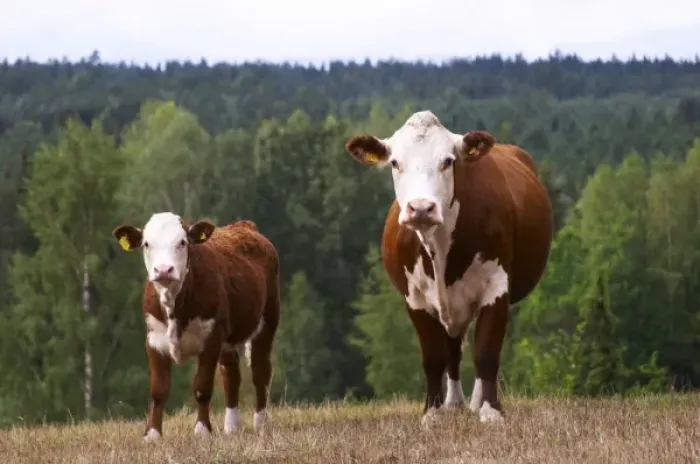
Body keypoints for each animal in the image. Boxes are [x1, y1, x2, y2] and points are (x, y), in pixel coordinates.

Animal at [112, 212, 280, 440]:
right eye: (146, 244)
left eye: (182, 242)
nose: (163, 270)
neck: (174, 305)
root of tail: (245, 226)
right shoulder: (154, 340)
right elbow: (158, 390)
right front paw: (153, 434)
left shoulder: (211, 338)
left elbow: (202, 387)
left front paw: (202, 430)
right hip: (227, 338)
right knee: (231, 374)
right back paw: (231, 427)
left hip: (267, 319)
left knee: (260, 370)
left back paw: (260, 424)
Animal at [345, 111, 553, 426]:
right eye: (395, 162)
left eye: (447, 161)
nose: (421, 208)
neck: (441, 250)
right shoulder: (415, 298)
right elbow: (433, 358)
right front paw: (432, 412)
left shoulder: (496, 287)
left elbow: (487, 352)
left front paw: (491, 411)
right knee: (453, 349)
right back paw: (454, 403)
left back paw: (476, 402)